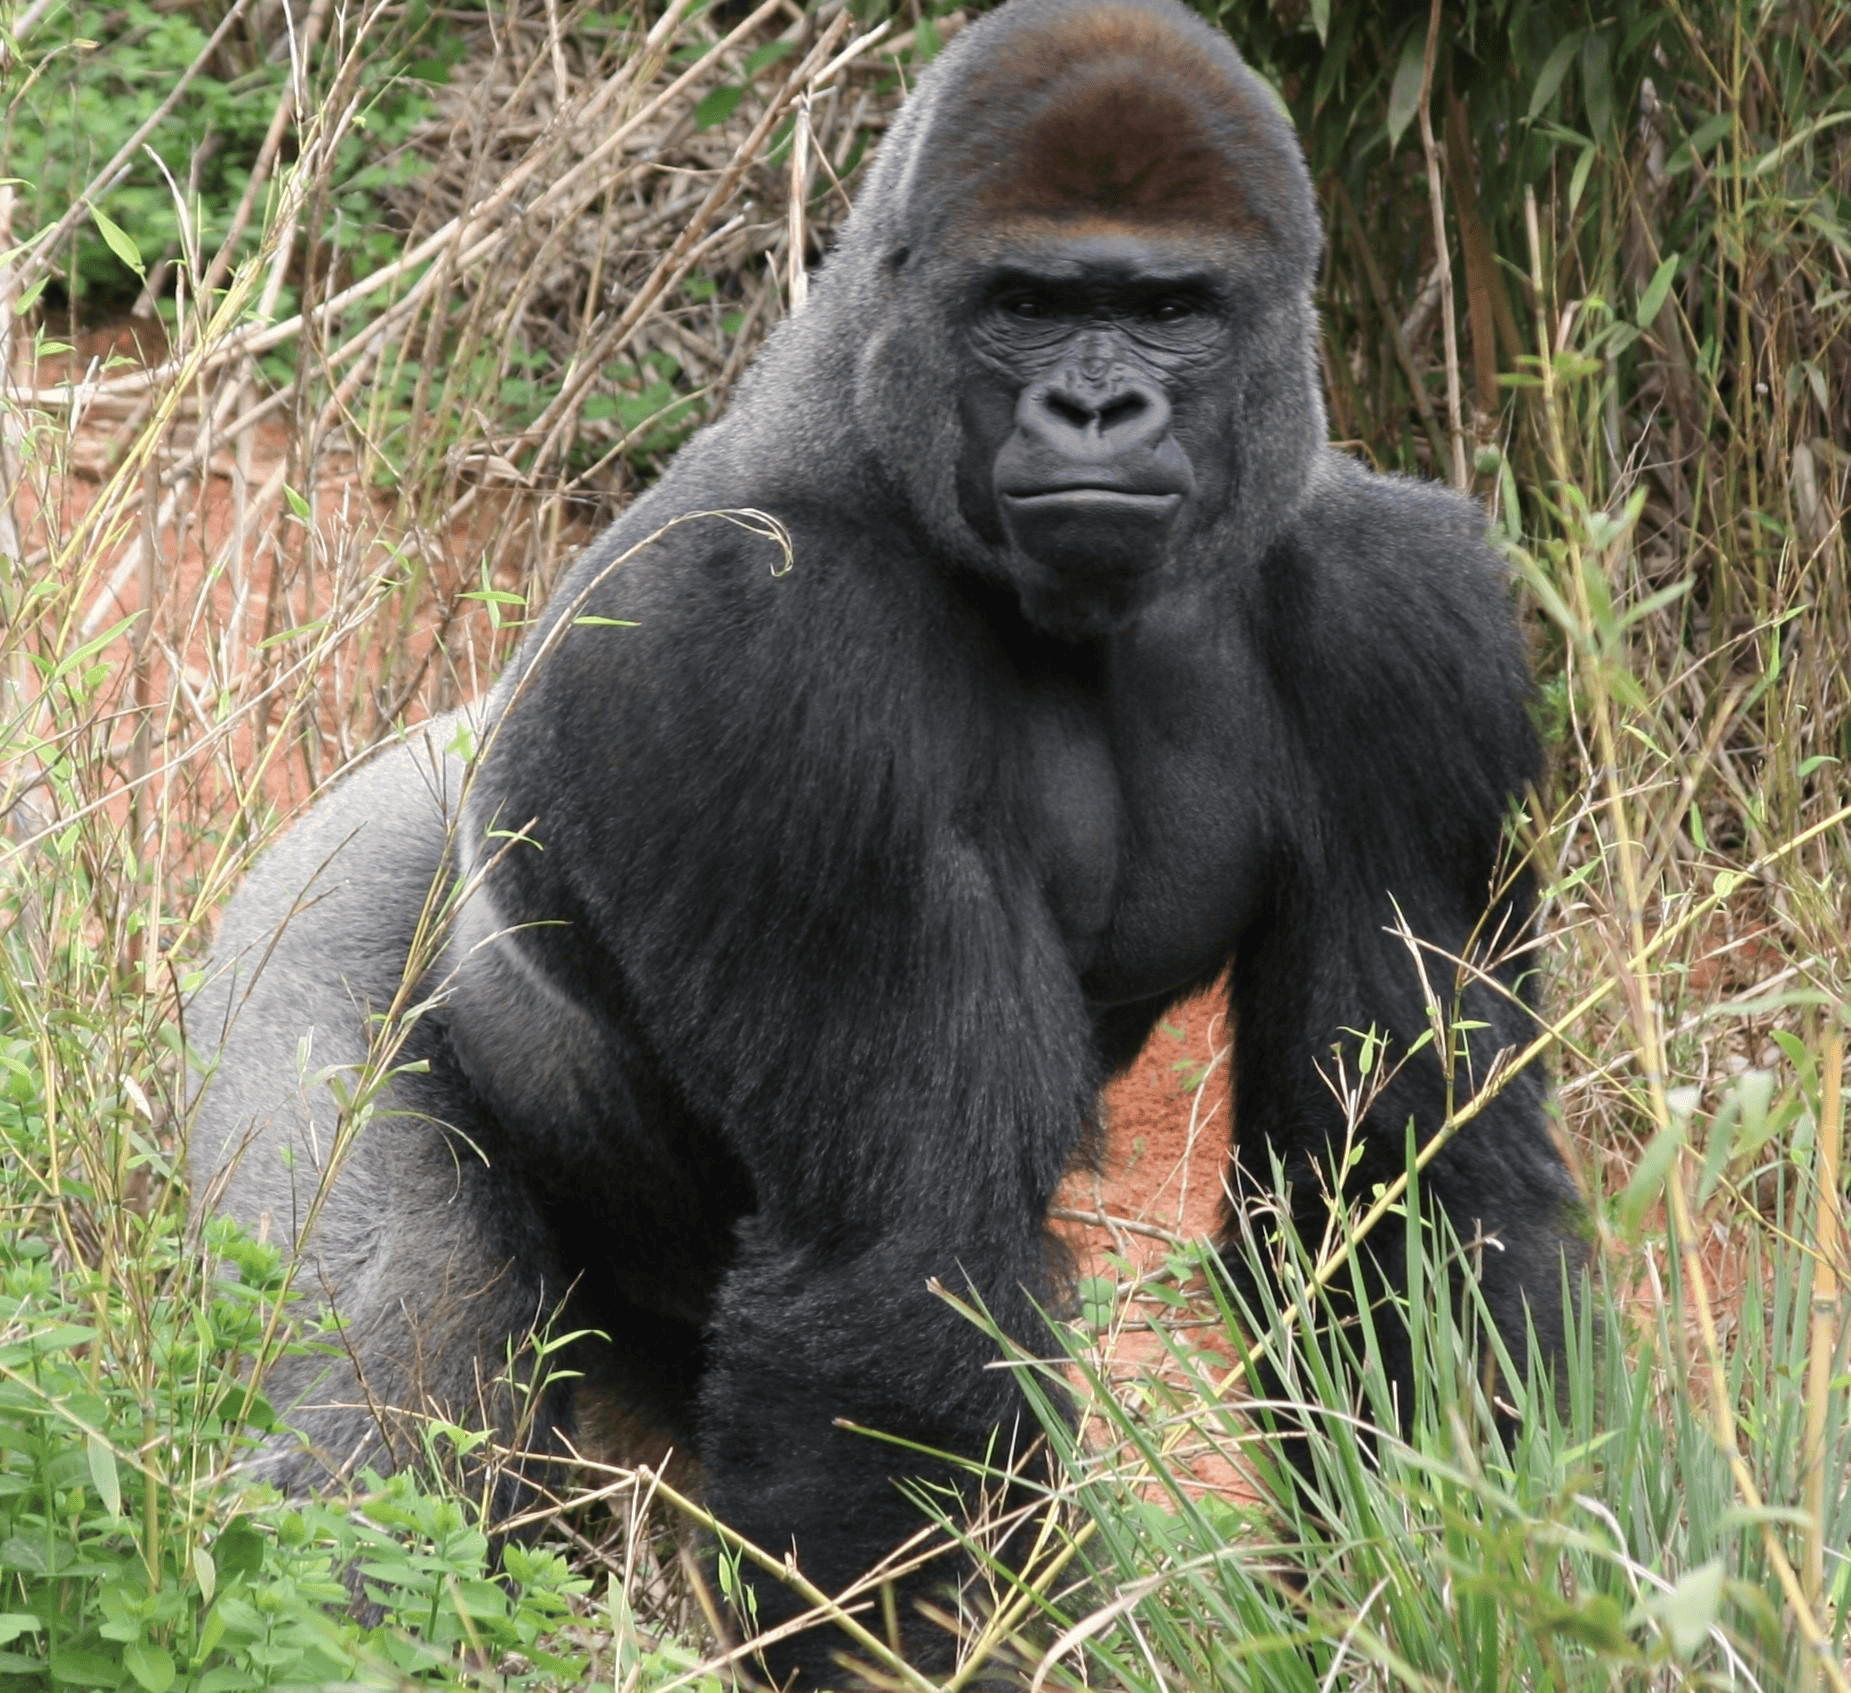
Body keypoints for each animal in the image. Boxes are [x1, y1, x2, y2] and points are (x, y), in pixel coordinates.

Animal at [191, 3, 1577, 1680]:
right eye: (1028, 304)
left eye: (1167, 309)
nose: (1096, 409)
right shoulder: (776, 656)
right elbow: (900, 1259)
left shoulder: (1409, 629)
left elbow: (1408, 1203)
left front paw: (1437, 1582)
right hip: (309, 933)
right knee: (391, 1378)